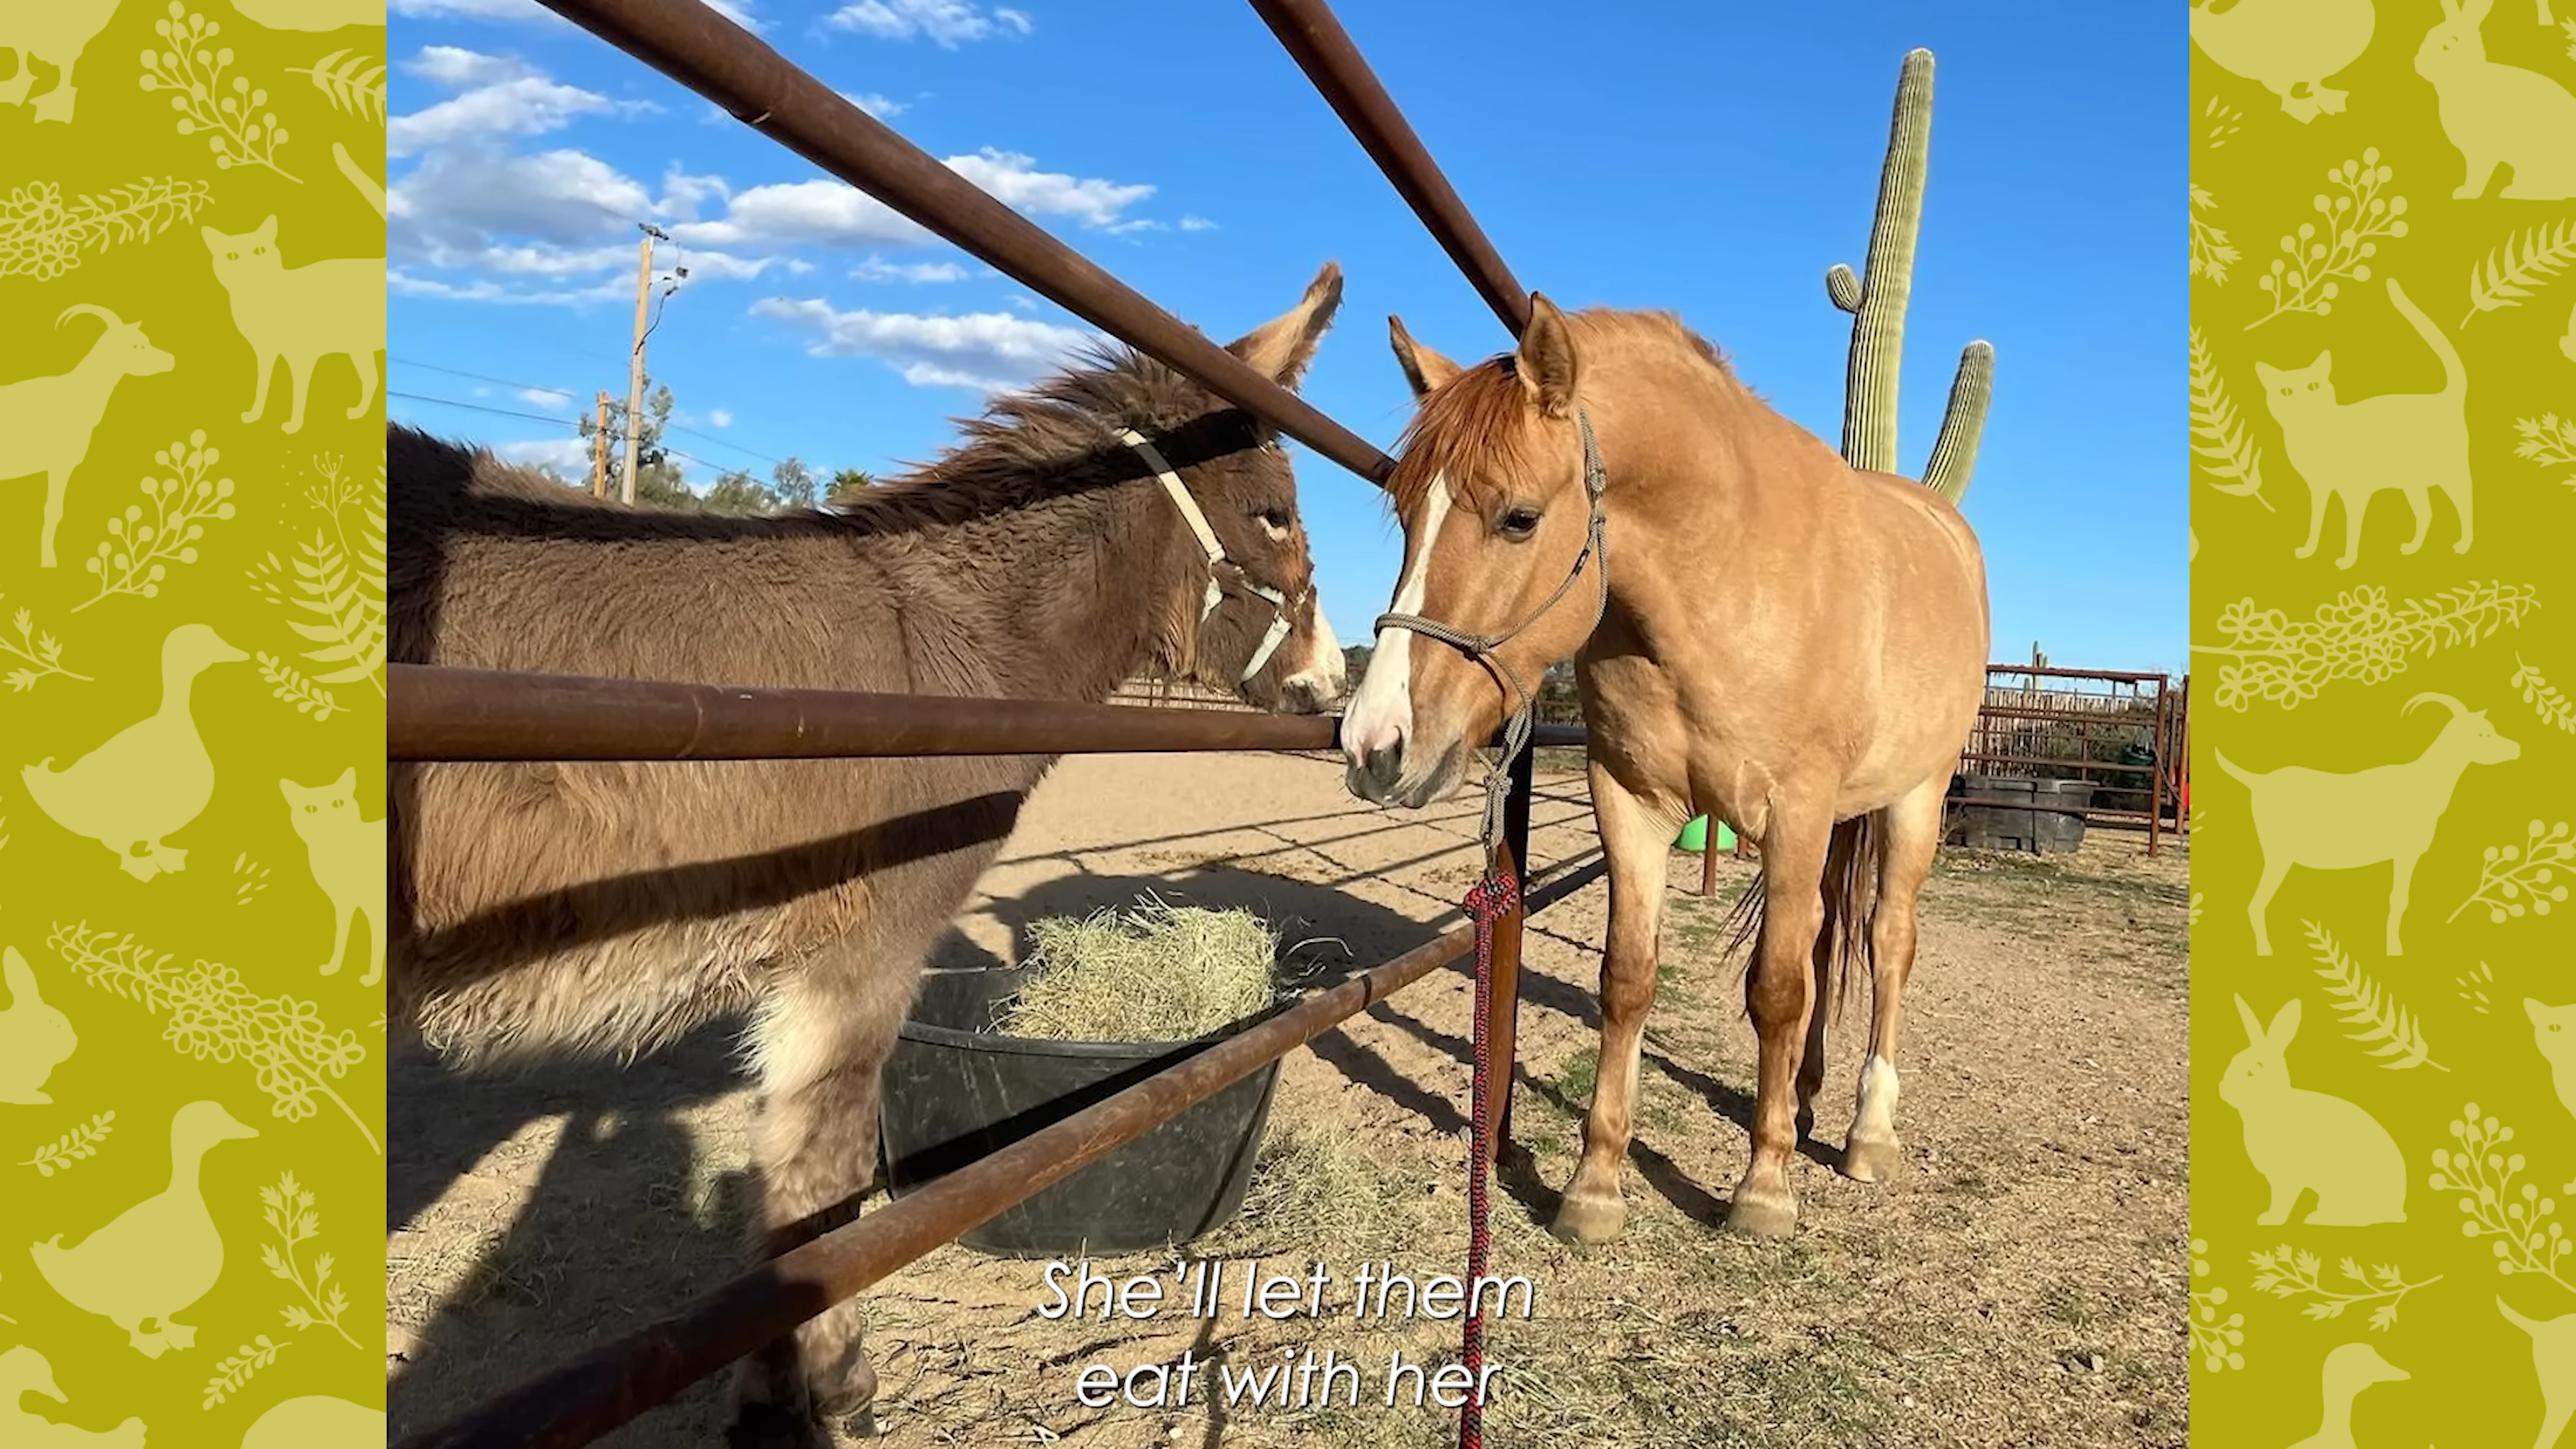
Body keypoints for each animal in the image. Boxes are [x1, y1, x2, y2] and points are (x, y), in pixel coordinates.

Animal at [386, 265, 1350, 1433]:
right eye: (1276, 516)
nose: (1336, 685)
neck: (949, 649)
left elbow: (784, 1182)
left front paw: (774, 1390)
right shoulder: (863, 951)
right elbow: (822, 1183)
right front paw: (831, 1389)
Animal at [1339, 296, 1978, 1242]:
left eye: (1519, 518)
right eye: (1407, 513)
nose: (1374, 744)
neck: (1724, 577)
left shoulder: (1796, 812)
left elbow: (1775, 990)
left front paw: (1764, 1186)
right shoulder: (1630, 801)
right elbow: (1628, 980)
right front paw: (1595, 1184)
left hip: (1913, 802)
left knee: (1887, 943)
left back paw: (1868, 1131)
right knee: (1828, 937)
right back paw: (1807, 1098)